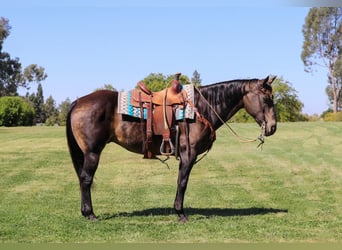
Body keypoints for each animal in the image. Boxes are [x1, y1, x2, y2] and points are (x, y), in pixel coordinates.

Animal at [67, 75, 278, 222]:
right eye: (266, 98)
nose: (273, 126)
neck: (201, 108)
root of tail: (79, 101)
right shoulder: (188, 155)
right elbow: (182, 182)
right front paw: (180, 213)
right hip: (92, 153)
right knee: (85, 179)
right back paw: (90, 214)